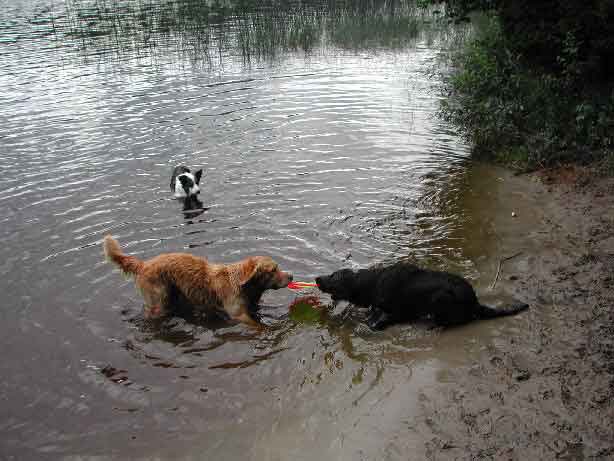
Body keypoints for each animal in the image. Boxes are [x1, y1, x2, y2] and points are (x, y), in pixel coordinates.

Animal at [103, 234, 294, 328]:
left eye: (278, 267)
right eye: (273, 269)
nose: (291, 276)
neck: (246, 287)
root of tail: (144, 264)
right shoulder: (237, 313)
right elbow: (254, 325)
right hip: (159, 297)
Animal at [318, 260, 528, 328]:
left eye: (332, 276)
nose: (316, 278)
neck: (373, 283)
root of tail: (474, 301)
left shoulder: (398, 312)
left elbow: (380, 321)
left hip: (440, 298)